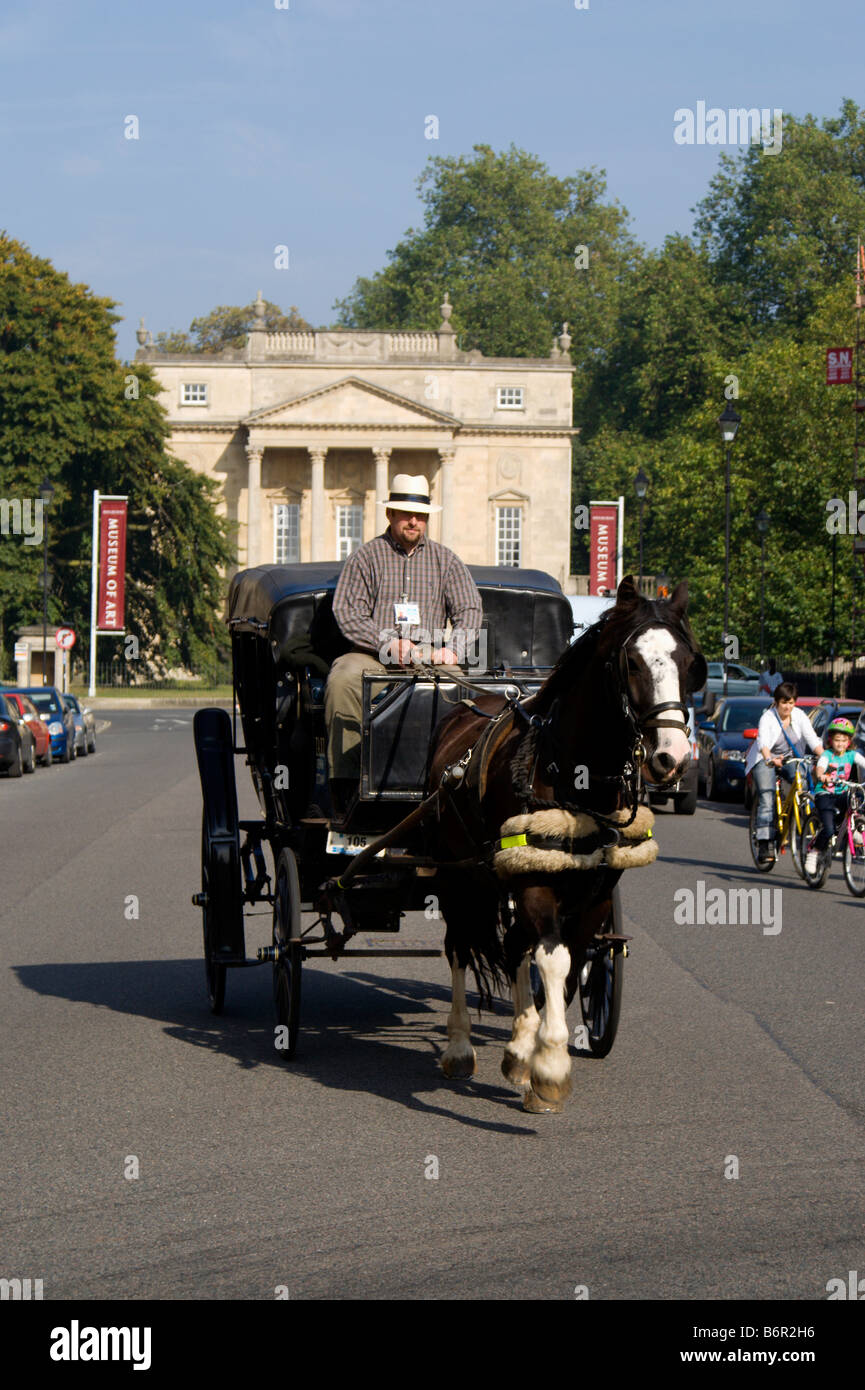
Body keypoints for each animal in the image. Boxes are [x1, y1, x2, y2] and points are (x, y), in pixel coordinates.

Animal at [425, 572, 706, 1106]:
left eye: (688, 664)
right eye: (632, 662)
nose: (673, 756)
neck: (576, 775)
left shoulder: (594, 892)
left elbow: (572, 962)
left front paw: (529, 1051)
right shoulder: (535, 881)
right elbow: (552, 960)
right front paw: (550, 1065)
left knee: (515, 944)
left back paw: (517, 1044)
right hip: (458, 877)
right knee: (459, 946)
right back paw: (459, 1046)